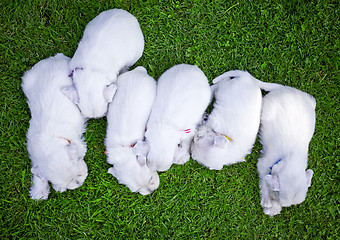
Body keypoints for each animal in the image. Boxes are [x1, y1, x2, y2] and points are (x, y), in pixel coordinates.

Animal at [21, 53, 87, 200]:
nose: (79, 183)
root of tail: (55, 58)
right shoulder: (34, 156)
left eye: (78, 174)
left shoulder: (78, 142)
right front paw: (40, 192)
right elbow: (38, 174)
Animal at [258, 86, 316, 216]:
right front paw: (267, 200)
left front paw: (273, 208)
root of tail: (285, 88)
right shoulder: (263, 164)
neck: (290, 158)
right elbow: (264, 181)